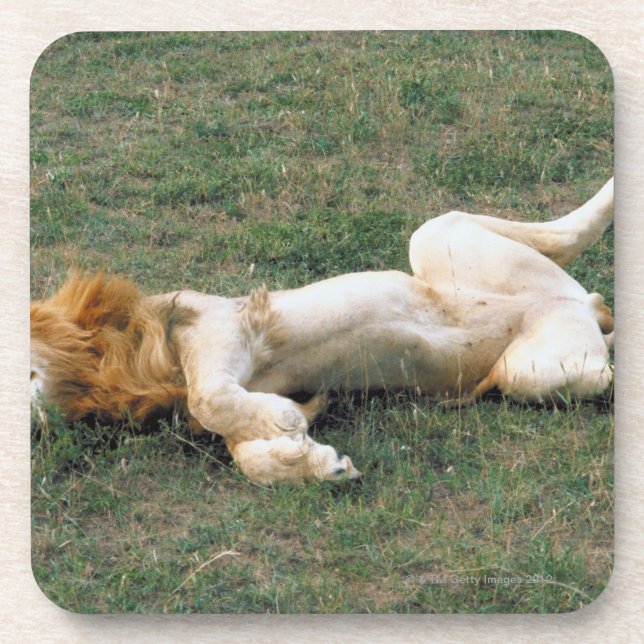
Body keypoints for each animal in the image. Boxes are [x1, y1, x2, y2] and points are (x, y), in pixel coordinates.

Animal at [31, 178, 614, 484]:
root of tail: (575, 303)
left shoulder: (219, 323)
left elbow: (209, 399)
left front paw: (288, 426)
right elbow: (247, 455)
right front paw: (319, 462)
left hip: (437, 239)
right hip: (533, 365)